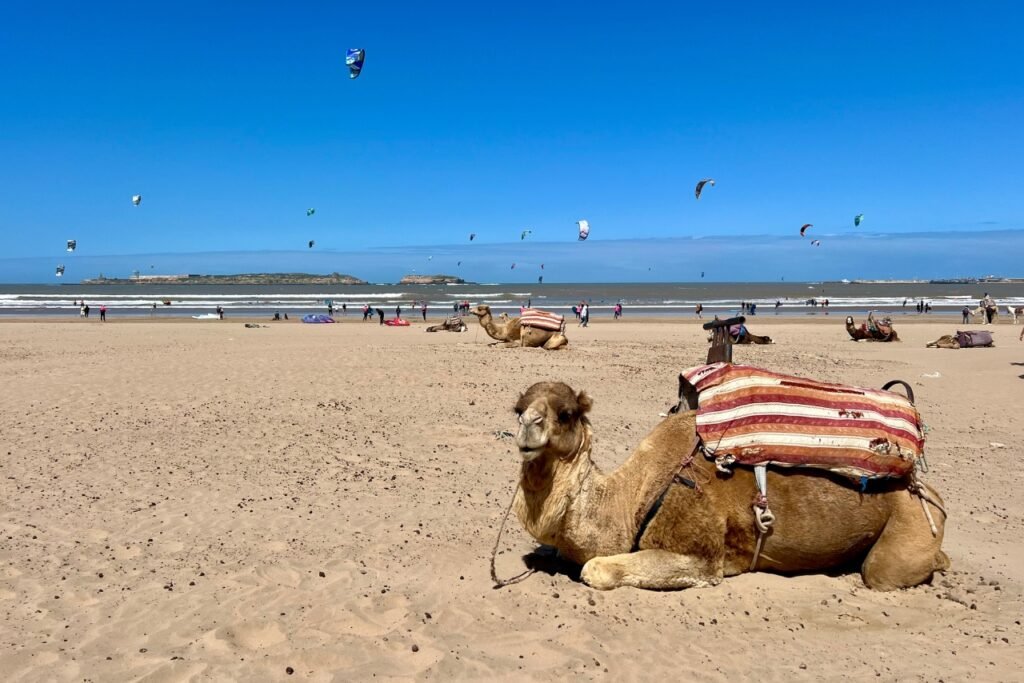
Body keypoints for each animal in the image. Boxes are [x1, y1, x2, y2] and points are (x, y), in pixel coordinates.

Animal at [511, 381, 947, 591]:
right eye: (518, 409)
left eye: (566, 413)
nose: (528, 427)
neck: (632, 499)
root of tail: (928, 492)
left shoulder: (700, 552)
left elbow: (595, 568)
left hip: (909, 522)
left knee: (883, 571)